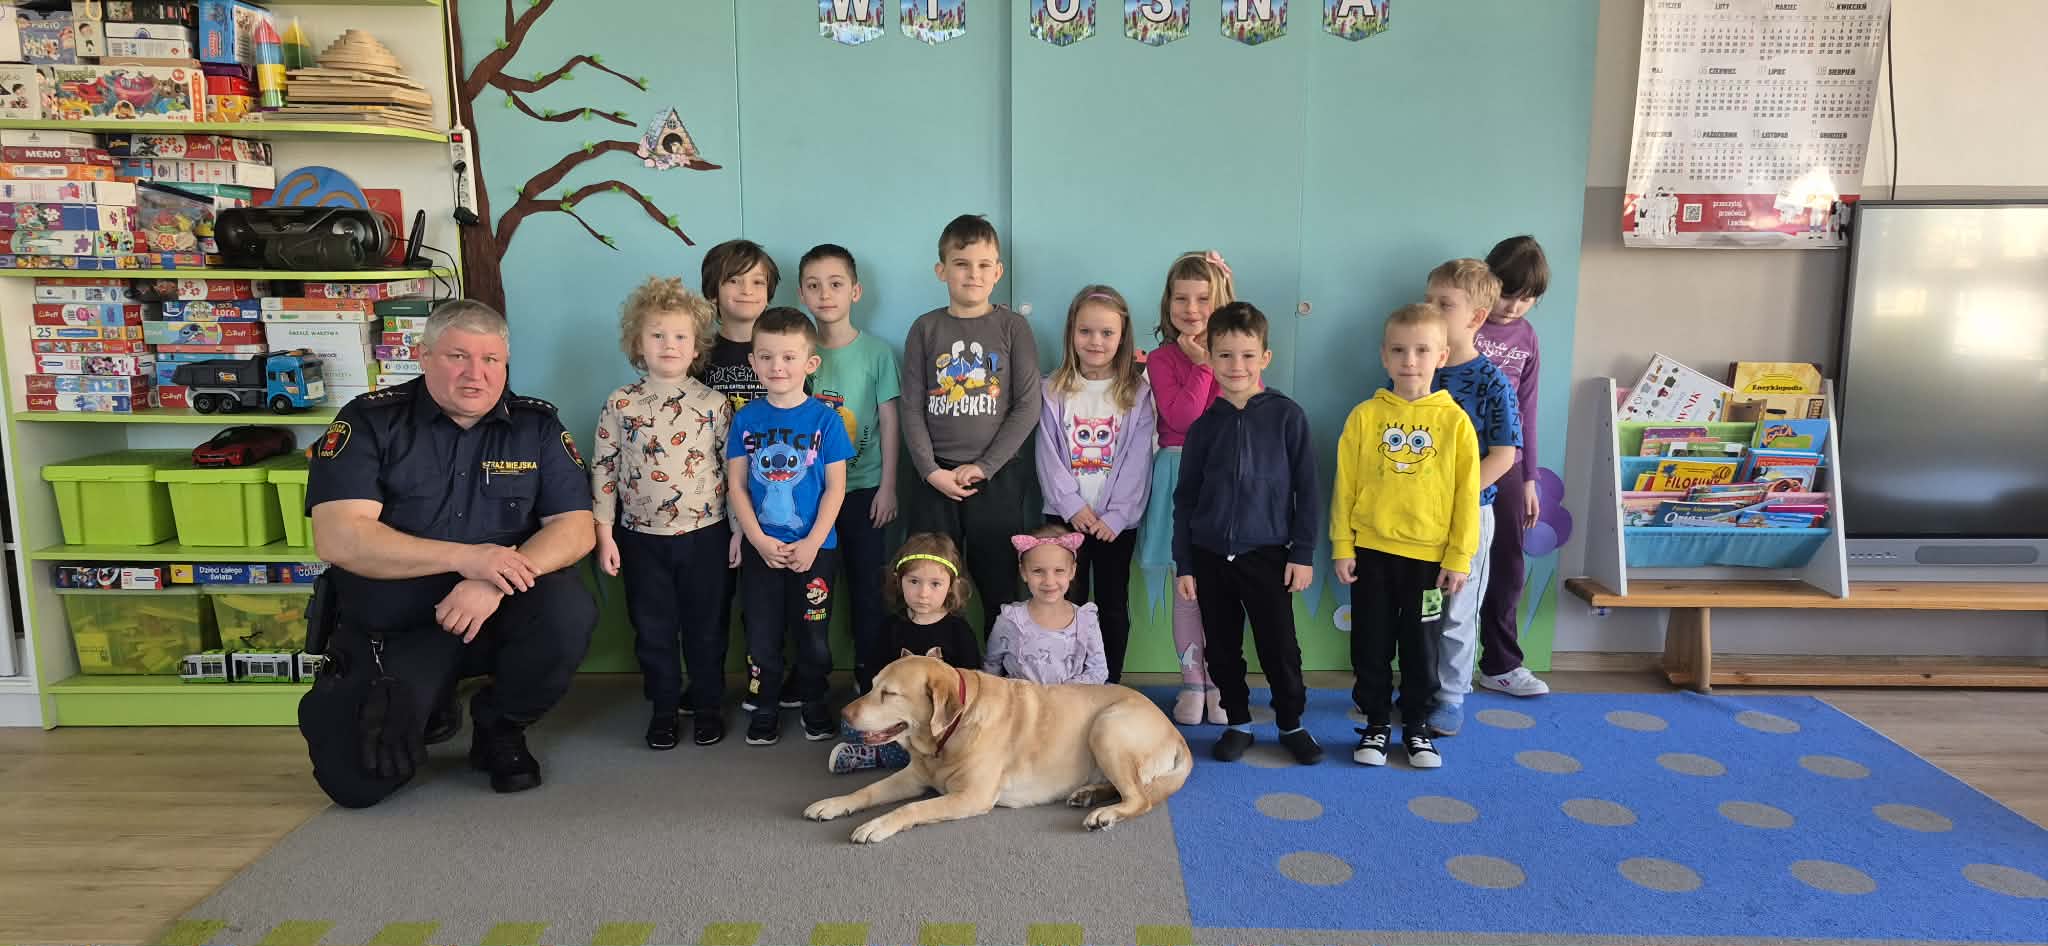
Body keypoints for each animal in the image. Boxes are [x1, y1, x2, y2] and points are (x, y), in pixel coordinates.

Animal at [804, 651, 1192, 843]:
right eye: (872, 686)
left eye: (890, 694)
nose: (844, 713)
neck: (947, 736)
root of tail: (1176, 734)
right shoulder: (913, 777)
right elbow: (866, 791)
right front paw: (833, 804)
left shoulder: (971, 796)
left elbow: (911, 808)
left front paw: (876, 826)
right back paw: (1089, 795)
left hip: (1106, 727)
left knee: (1140, 798)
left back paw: (1104, 814)